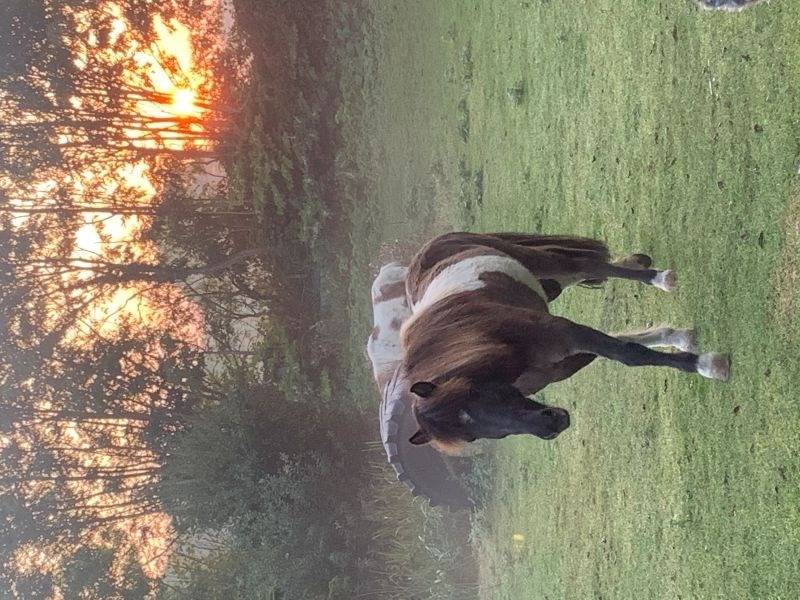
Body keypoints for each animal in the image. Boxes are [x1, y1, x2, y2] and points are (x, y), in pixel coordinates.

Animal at [400, 232, 730, 453]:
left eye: (474, 397)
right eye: (471, 437)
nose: (551, 426)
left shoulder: (563, 333)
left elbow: (628, 354)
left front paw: (708, 365)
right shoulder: (565, 358)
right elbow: (625, 346)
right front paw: (683, 342)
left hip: (544, 263)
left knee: (589, 267)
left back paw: (660, 278)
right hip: (551, 283)